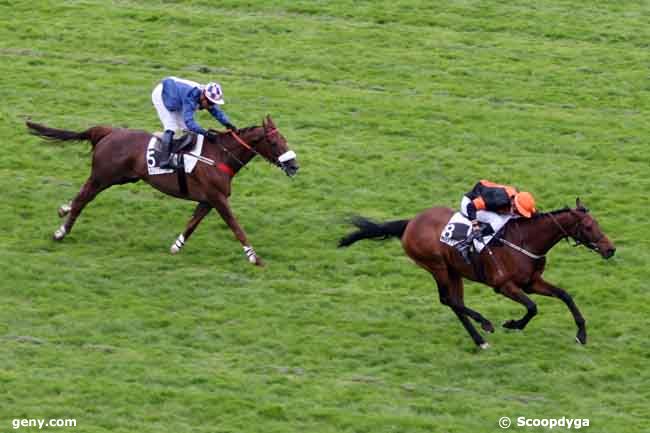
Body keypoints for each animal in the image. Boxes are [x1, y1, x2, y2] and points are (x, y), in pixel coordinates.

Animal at [24, 115, 298, 264]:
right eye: (275, 142)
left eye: (285, 139)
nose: (294, 165)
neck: (220, 155)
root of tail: (108, 132)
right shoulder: (218, 198)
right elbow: (235, 226)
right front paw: (254, 257)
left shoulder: (208, 199)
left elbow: (192, 223)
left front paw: (176, 247)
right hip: (103, 177)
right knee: (83, 199)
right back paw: (61, 232)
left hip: (122, 178)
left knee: (81, 197)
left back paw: (63, 210)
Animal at [336, 199, 616, 348]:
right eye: (588, 227)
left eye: (598, 224)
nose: (610, 249)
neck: (525, 241)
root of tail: (410, 223)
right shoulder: (504, 285)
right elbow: (532, 307)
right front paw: (512, 324)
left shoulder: (532, 282)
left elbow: (565, 296)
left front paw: (581, 334)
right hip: (436, 266)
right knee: (448, 300)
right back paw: (484, 325)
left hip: (454, 270)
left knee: (455, 302)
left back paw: (479, 339)